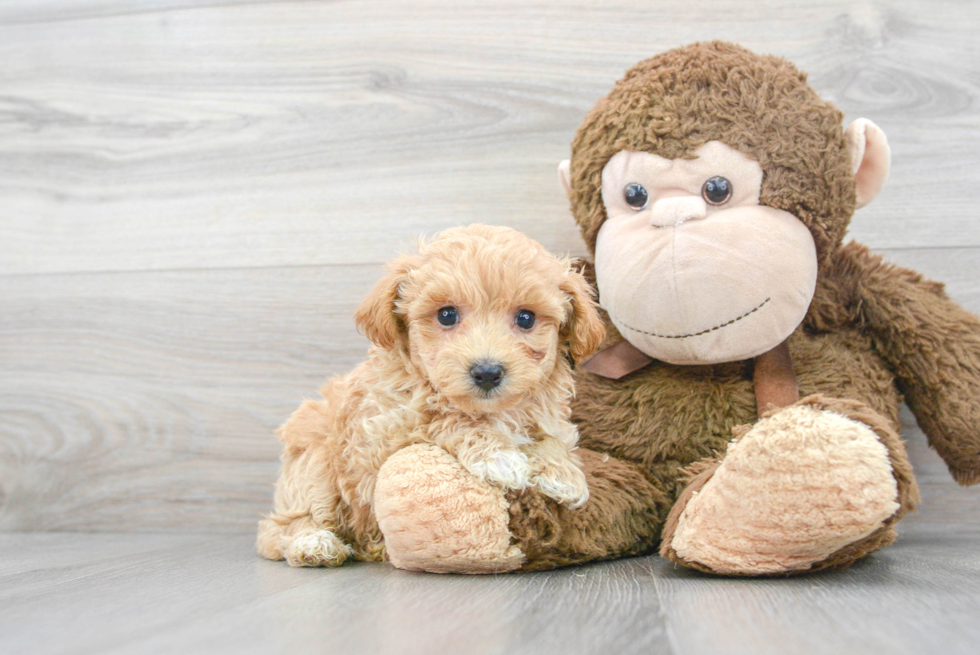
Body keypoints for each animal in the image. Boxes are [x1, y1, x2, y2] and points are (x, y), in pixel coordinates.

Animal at [253, 223, 604, 568]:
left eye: (526, 318)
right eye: (446, 315)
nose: (487, 372)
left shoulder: (546, 416)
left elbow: (554, 437)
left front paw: (562, 472)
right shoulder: (383, 432)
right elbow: (441, 419)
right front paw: (499, 455)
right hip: (314, 463)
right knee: (282, 525)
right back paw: (314, 543)